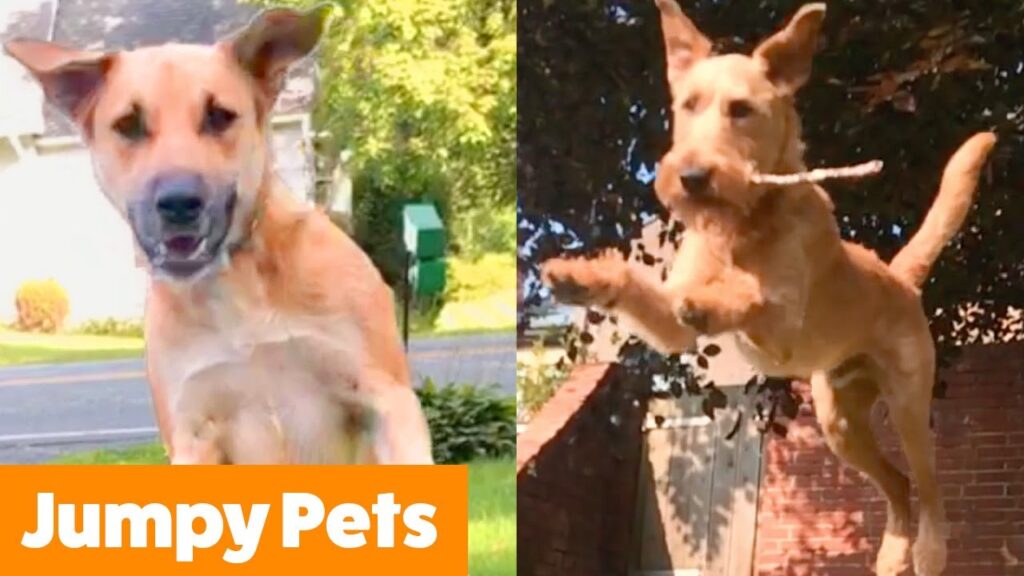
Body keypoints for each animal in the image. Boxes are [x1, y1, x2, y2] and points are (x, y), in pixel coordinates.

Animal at [3, 6, 432, 463]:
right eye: (129, 124)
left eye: (218, 116)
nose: (178, 202)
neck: (238, 284)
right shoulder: (193, 431)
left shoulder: (387, 401)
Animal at [548, 2, 995, 569]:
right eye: (688, 105)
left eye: (741, 109)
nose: (691, 177)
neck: (740, 222)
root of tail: (900, 277)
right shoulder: (670, 322)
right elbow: (646, 291)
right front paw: (581, 277)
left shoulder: (782, 324)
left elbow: (750, 292)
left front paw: (713, 300)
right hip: (839, 420)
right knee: (897, 482)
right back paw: (894, 553)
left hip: (909, 404)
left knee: (929, 487)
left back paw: (929, 551)